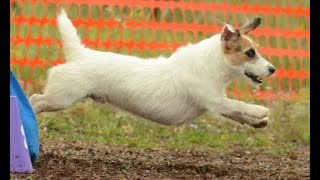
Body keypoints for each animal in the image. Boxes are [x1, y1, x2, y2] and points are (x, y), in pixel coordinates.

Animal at [29, 9, 276, 128]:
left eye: (256, 50)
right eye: (250, 53)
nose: (273, 69)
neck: (210, 64)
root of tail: (80, 54)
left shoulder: (218, 104)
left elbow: (238, 114)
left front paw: (259, 122)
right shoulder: (215, 101)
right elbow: (239, 104)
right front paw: (260, 110)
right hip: (61, 98)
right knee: (35, 100)